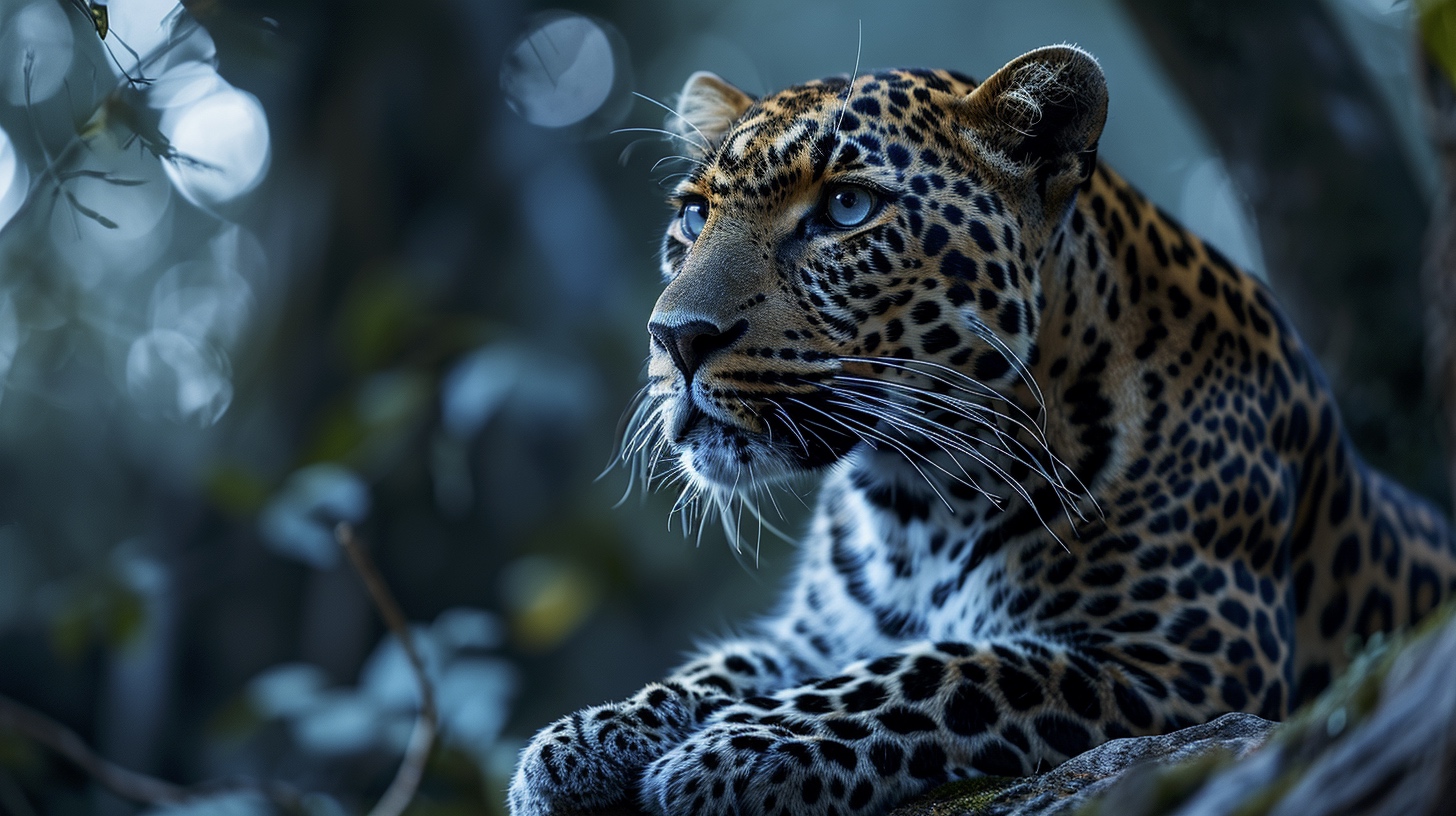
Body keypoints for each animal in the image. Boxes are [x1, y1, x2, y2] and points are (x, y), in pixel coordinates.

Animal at [509, 45, 1456, 816]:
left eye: (846, 209)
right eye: (693, 216)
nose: (675, 338)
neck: (912, 501)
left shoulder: (1189, 659)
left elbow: (947, 668)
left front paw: (733, 749)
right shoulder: (813, 635)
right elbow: (723, 666)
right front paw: (582, 739)